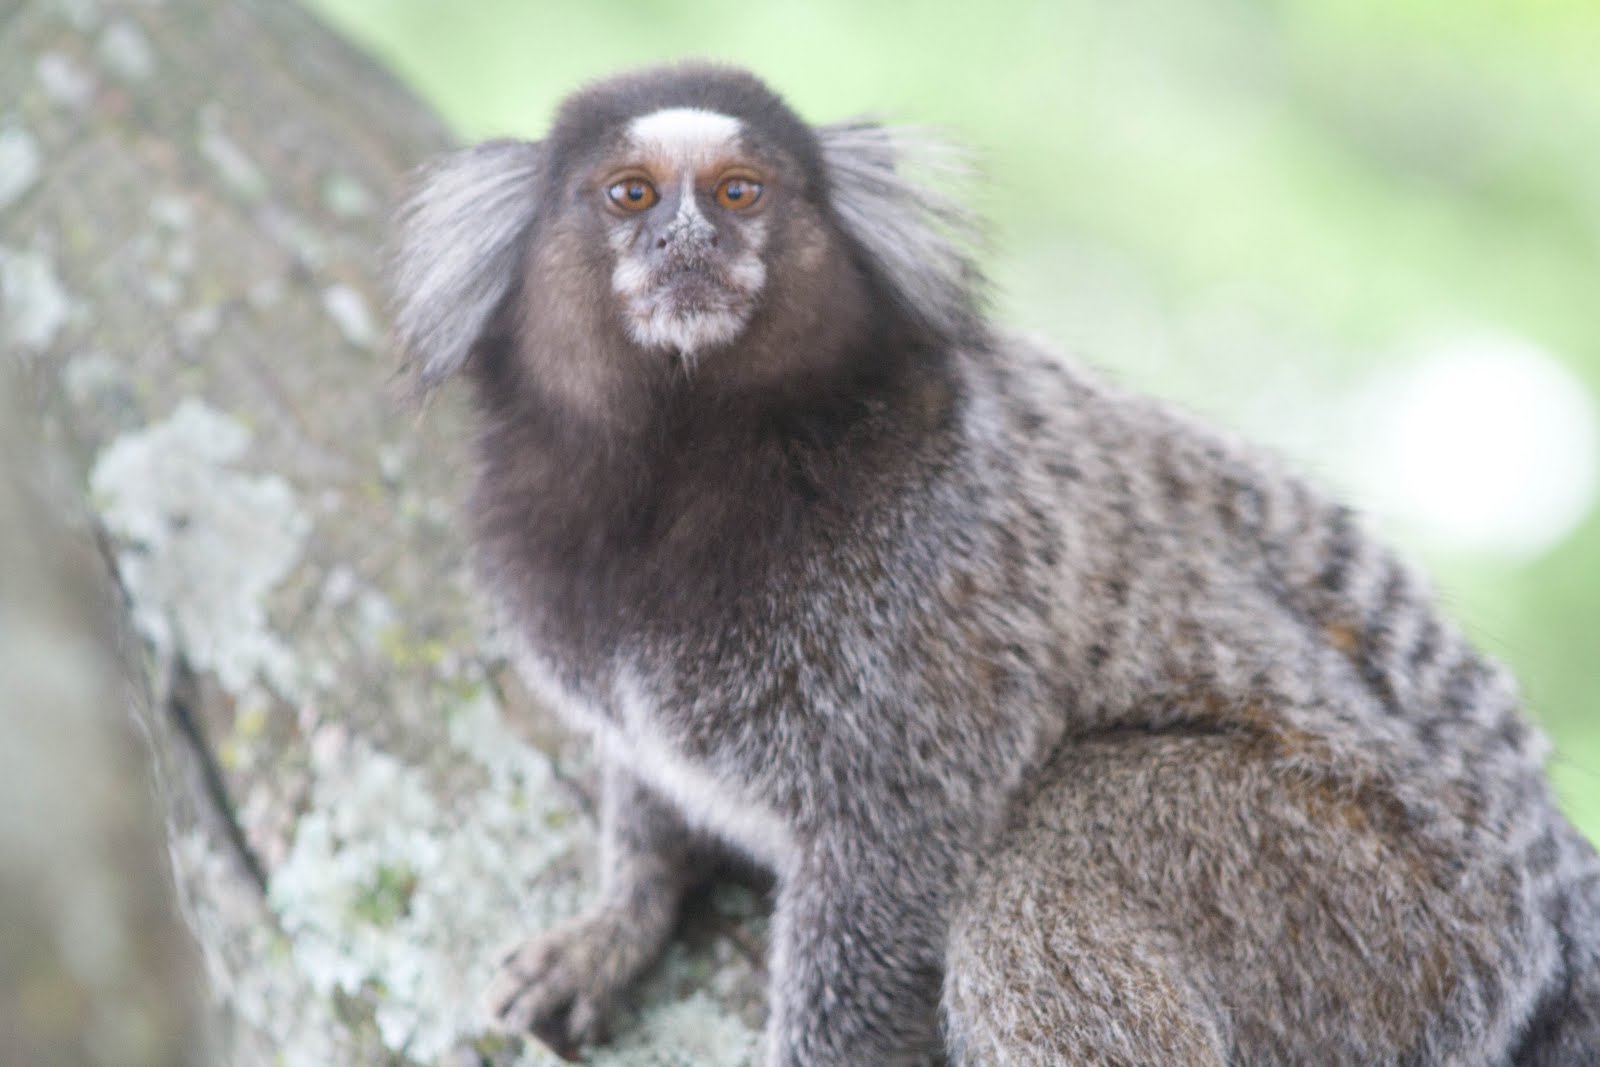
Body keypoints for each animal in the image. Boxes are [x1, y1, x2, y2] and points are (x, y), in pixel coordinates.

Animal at [387, 62, 1600, 1062]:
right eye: (629, 195)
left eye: (740, 193)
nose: (687, 245)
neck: (684, 467)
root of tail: (1537, 871)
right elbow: (643, 781)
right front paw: (621, 917)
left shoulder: (917, 609)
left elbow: (895, 860)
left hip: (1371, 898)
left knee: (1043, 882)